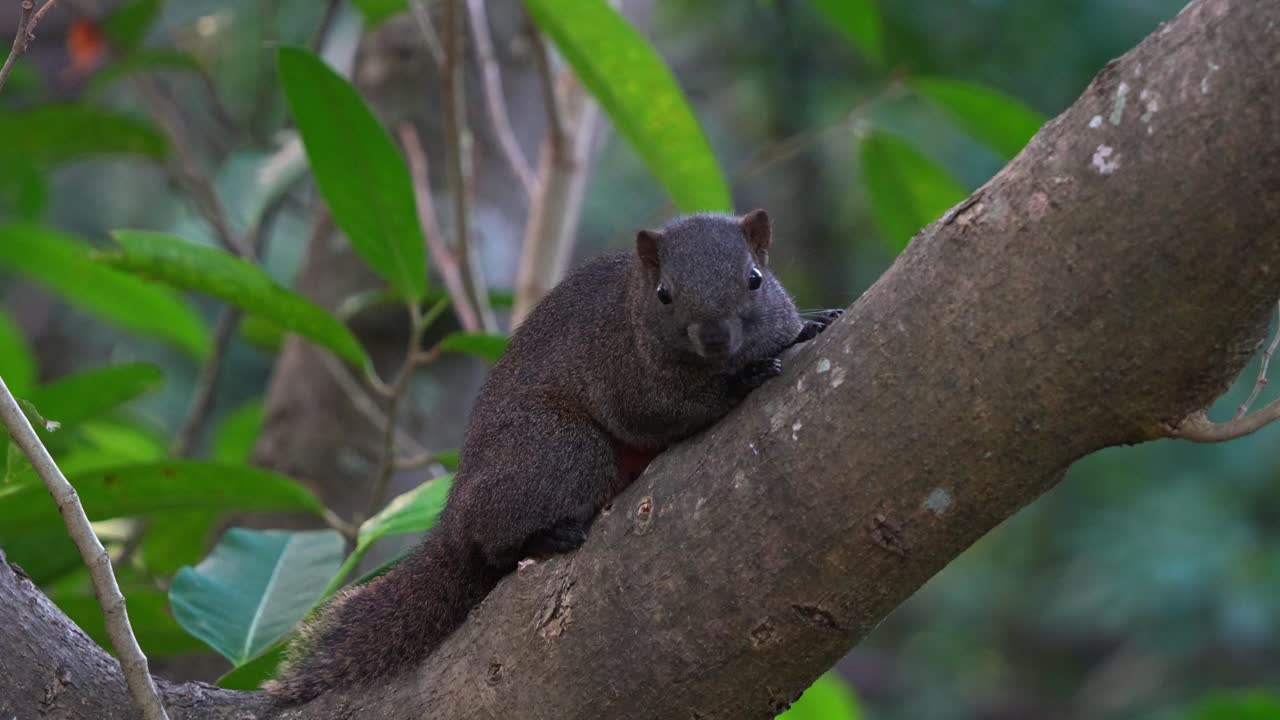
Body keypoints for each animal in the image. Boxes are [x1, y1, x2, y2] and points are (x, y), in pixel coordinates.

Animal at [266, 209, 842, 704]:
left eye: (755, 278)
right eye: (664, 294)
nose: (716, 336)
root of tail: (455, 518)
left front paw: (816, 324)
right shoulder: (627, 377)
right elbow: (673, 412)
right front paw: (744, 379)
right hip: (563, 451)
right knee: (495, 549)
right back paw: (547, 537)